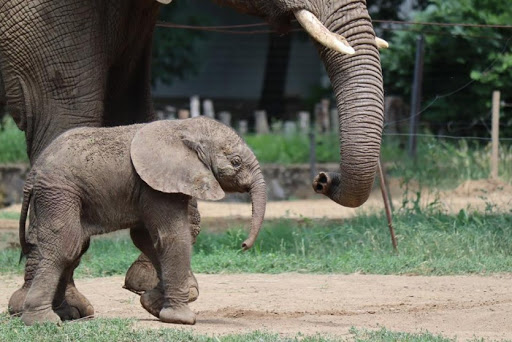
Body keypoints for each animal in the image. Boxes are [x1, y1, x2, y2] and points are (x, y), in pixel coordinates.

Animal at [14, 117, 266, 326]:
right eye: (236, 162)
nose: (243, 245)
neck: (184, 127)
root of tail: (32, 172)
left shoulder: (151, 185)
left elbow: (146, 239)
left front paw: (152, 304)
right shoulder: (157, 183)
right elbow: (173, 236)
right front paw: (182, 318)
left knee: (76, 248)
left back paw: (65, 315)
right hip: (59, 191)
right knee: (65, 246)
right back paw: (43, 321)